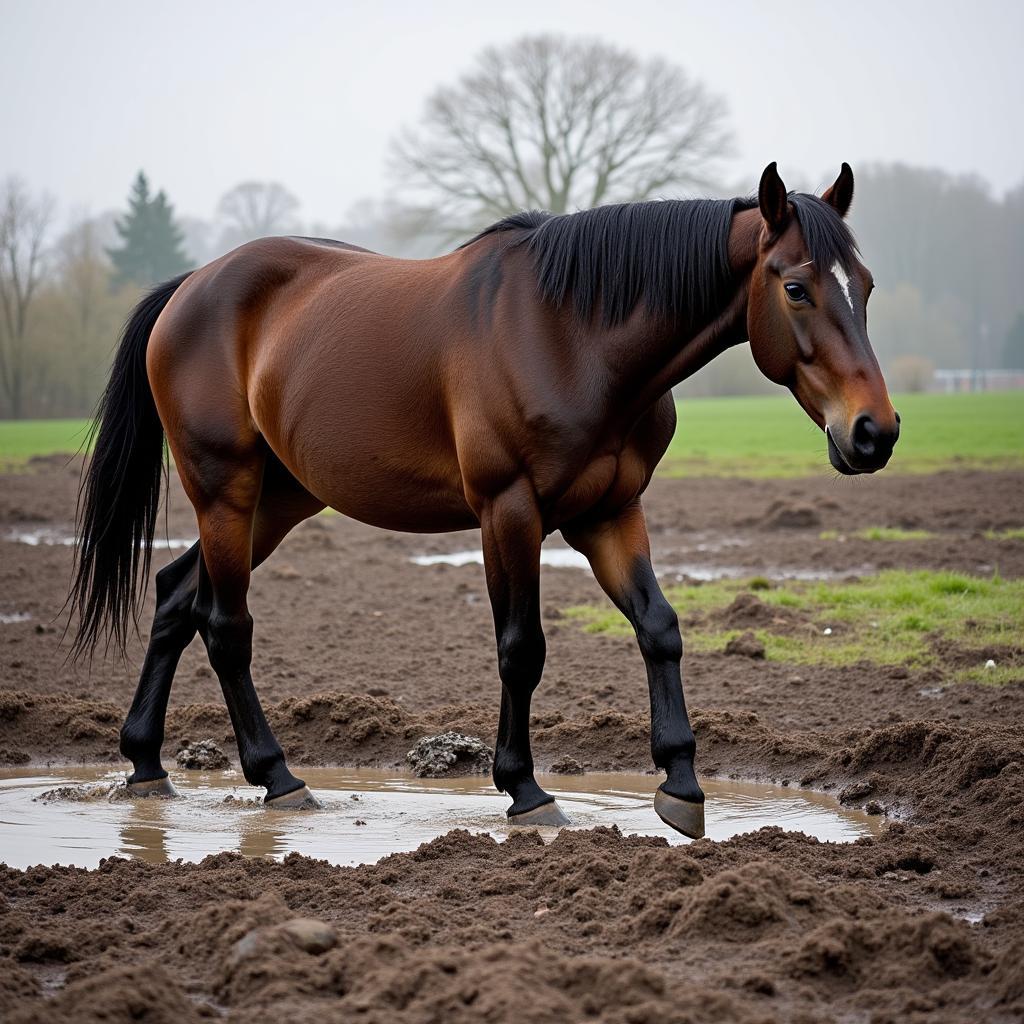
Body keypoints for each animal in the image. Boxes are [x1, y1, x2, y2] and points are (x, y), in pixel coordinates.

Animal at [70, 163, 897, 839]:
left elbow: (659, 627)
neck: (573, 335)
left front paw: (683, 783)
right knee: (224, 623)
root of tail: (190, 287)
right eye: (796, 287)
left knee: (177, 594)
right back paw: (277, 776)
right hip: (225, 488)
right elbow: (521, 648)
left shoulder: (610, 511)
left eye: (866, 285)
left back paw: (146, 765)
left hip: (279, 498)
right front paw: (525, 790)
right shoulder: (510, 511)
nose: (874, 432)